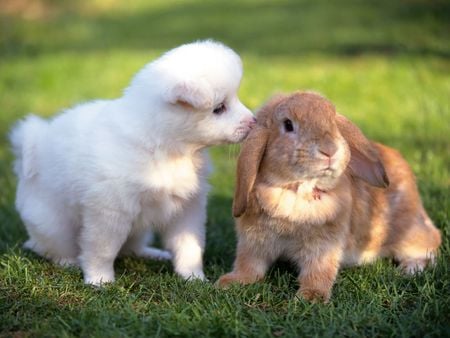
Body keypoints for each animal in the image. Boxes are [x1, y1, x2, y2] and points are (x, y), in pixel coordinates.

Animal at [10, 41, 255, 286]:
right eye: (219, 108)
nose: (253, 121)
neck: (166, 149)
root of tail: (33, 145)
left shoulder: (187, 207)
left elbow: (189, 246)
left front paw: (194, 278)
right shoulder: (109, 211)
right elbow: (102, 250)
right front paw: (100, 280)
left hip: (137, 230)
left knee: (131, 248)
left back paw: (154, 254)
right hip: (53, 224)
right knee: (49, 246)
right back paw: (69, 262)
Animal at [218, 91, 442, 302]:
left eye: (333, 122)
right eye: (288, 125)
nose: (330, 150)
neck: (296, 192)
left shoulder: (324, 246)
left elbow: (318, 272)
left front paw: (310, 297)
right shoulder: (253, 242)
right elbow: (249, 265)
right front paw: (229, 282)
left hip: (408, 232)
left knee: (431, 242)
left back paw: (409, 269)